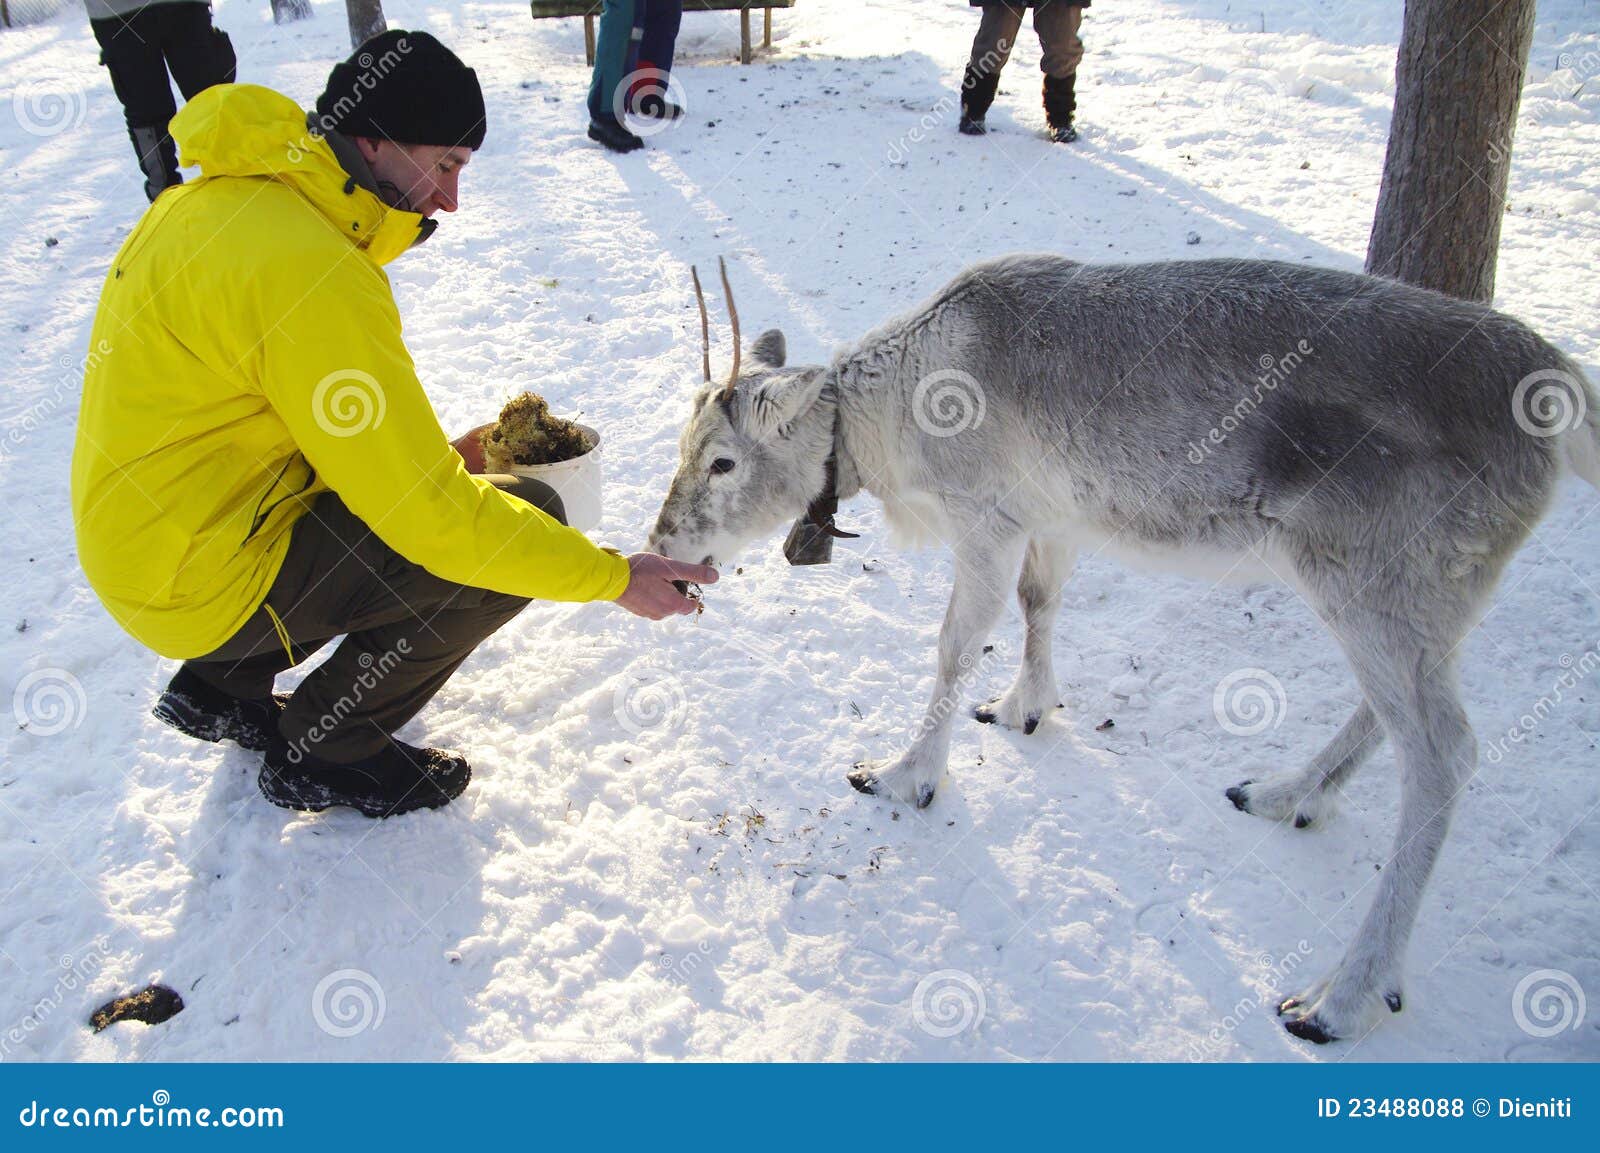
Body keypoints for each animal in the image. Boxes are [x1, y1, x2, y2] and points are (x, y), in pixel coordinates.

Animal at [647, 253, 1600, 1044]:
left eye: (723, 461)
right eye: (683, 447)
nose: (665, 545)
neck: (890, 431)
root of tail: (1562, 396)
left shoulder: (987, 518)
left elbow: (955, 644)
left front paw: (903, 773)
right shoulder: (1052, 519)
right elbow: (1040, 604)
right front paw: (1024, 706)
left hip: (1377, 575)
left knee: (1444, 750)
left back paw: (1343, 994)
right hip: (1423, 598)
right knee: (1397, 715)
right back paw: (1287, 791)